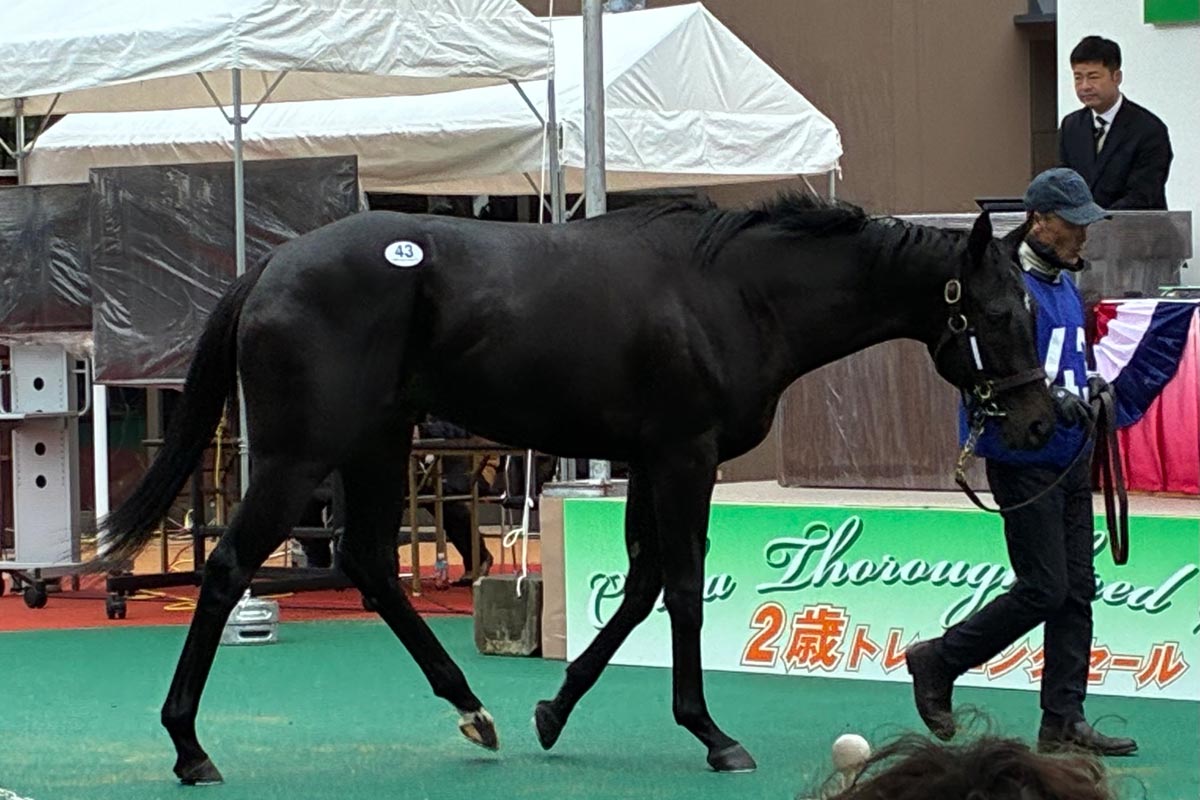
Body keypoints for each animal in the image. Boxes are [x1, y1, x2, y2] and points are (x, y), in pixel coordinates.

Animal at [96, 192, 1056, 784]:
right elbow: (681, 585)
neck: (734, 292)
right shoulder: (684, 454)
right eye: (996, 313)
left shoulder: (644, 459)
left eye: (1031, 308)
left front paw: (554, 711)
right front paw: (713, 735)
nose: (1041, 424)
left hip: (377, 442)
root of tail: (271, 267)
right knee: (228, 568)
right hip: (301, 455)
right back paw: (189, 746)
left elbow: (638, 585)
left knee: (369, 563)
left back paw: (474, 710)